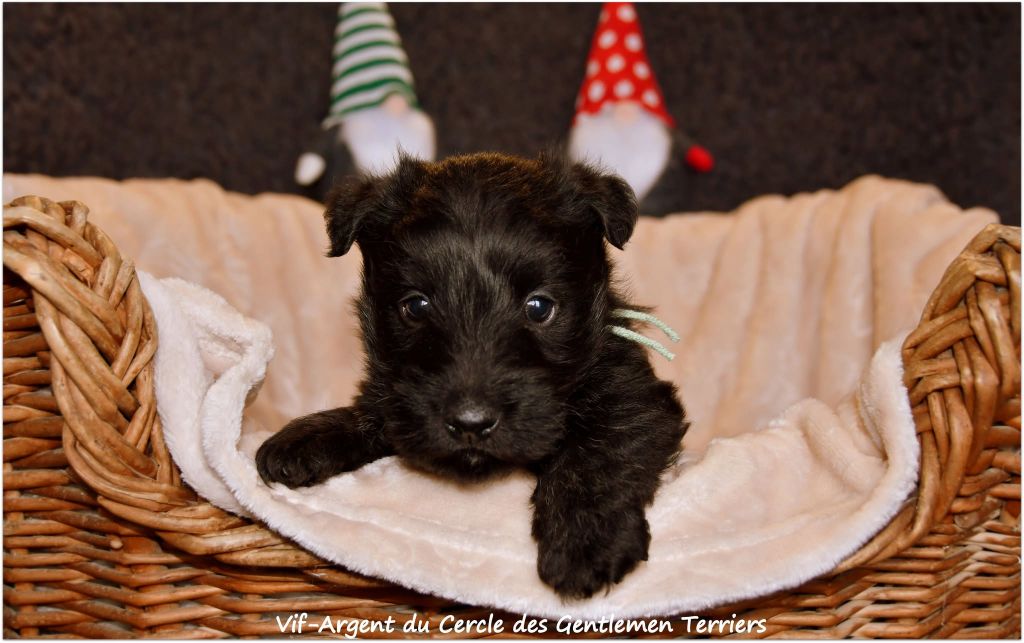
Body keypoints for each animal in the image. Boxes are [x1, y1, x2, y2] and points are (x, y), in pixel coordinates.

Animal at [256, 150, 688, 597]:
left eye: (539, 307)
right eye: (416, 306)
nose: (471, 423)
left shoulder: (635, 399)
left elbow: (597, 456)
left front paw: (584, 541)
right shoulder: (401, 396)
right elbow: (379, 410)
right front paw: (307, 437)